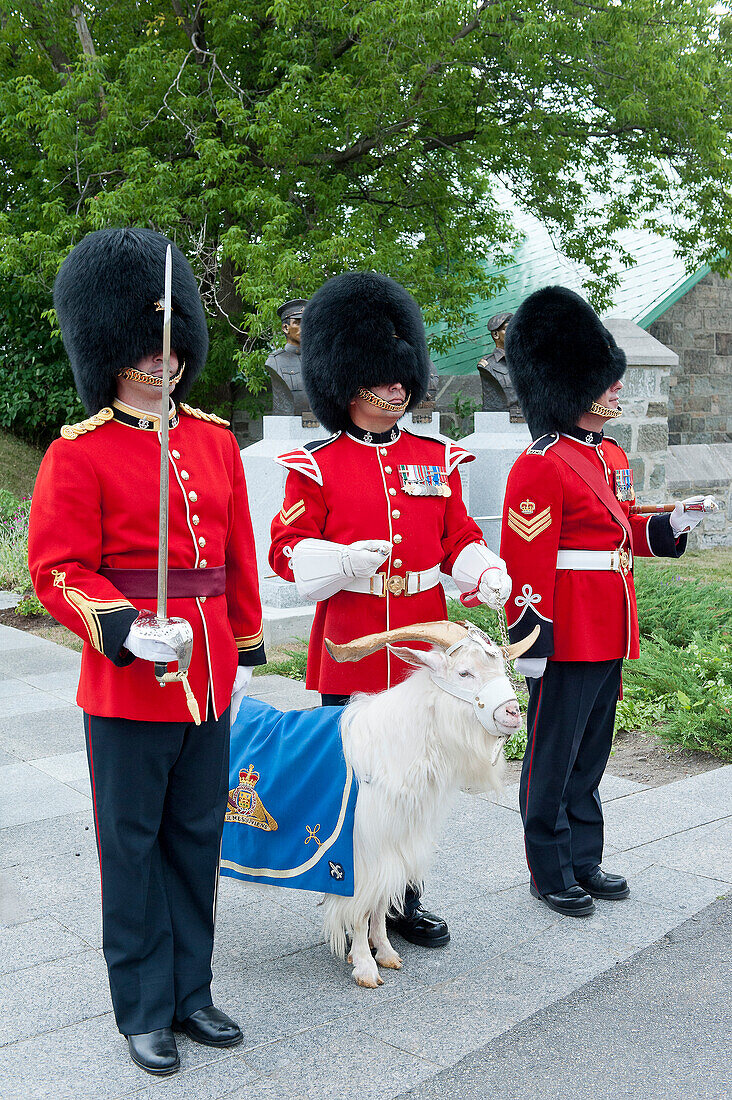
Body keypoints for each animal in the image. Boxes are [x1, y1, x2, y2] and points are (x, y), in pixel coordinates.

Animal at [319, 620, 537, 990]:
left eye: (501, 670)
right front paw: (365, 967)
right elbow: (361, 909)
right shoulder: (360, 854)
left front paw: (386, 953)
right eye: (464, 672)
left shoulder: (395, 846)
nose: (512, 714)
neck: (391, 746)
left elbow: (379, 904)